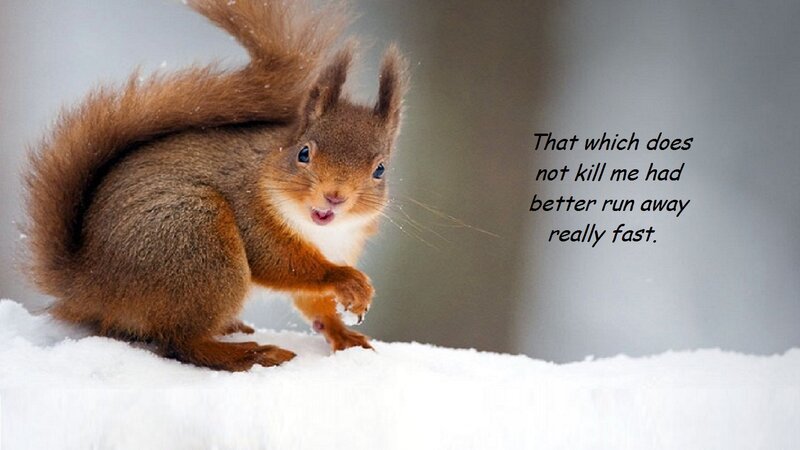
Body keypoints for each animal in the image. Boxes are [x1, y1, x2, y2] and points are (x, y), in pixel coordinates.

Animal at [22, 0, 408, 371]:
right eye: (303, 153)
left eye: (380, 170)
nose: (334, 196)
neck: (319, 230)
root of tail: (88, 283)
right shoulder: (251, 212)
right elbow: (281, 263)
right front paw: (347, 280)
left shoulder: (344, 243)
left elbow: (313, 303)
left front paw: (343, 331)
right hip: (198, 239)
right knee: (180, 343)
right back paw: (249, 355)